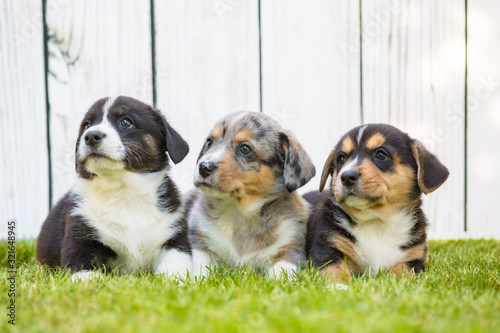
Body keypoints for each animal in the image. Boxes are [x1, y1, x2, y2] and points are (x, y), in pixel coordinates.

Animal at [36, 96, 192, 280]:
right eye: (87, 125)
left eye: (126, 121)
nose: (91, 136)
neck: (124, 191)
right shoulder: (80, 236)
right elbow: (84, 271)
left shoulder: (175, 239)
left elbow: (173, 272)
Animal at [184, 111, 316, 278]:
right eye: (209, 142)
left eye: (245, 149)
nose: (203, 167)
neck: (239, 213)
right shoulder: (200, 243)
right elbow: (199, 272)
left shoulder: (290, 251)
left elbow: (279, 275)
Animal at [304, 123, 450, 282]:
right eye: (341, 158)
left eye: (381, 154)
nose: (347, 177)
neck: (376, 220)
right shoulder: (327, 249)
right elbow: (334, 272)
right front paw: (339, 285)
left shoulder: (413, 259)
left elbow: (401, 272)